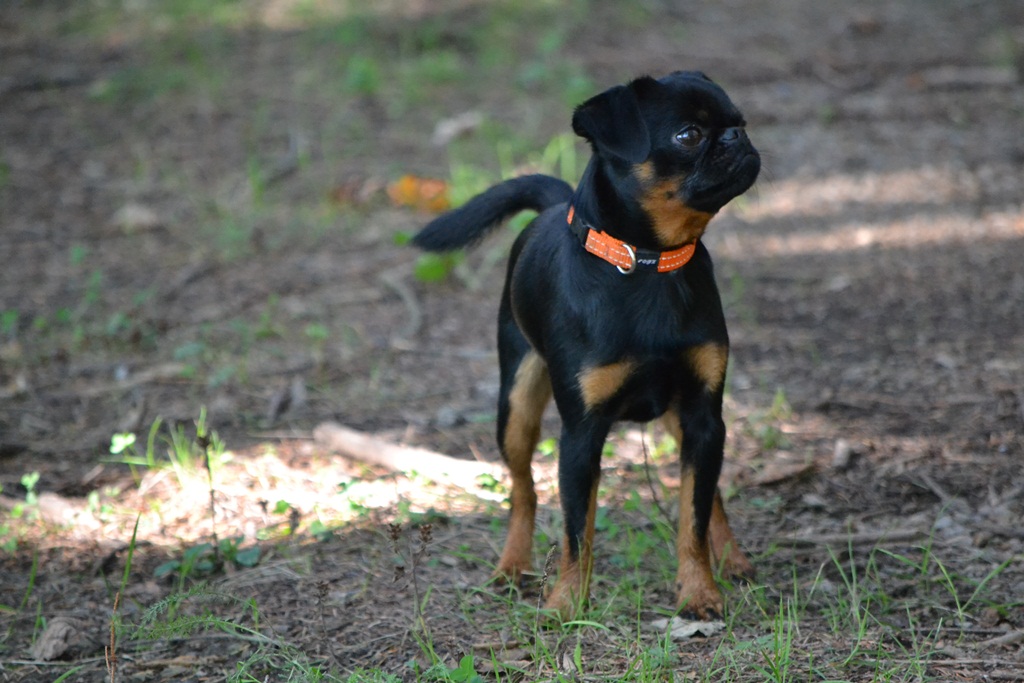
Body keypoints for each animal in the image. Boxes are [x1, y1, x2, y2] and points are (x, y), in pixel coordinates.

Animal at [413, 70, 761, 618]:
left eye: (739, 122)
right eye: (688, 135)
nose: (737, 138)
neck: (649, 262)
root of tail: (555, 204)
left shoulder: (705, 416)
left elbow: (693, 516)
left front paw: (700, 591)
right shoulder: (581, 434)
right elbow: (578, 531)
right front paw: (567, 603)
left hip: (685, 421)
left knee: (709, 496)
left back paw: (731, 558)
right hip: (516, 406)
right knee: (523, 491)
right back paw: (512, 565)